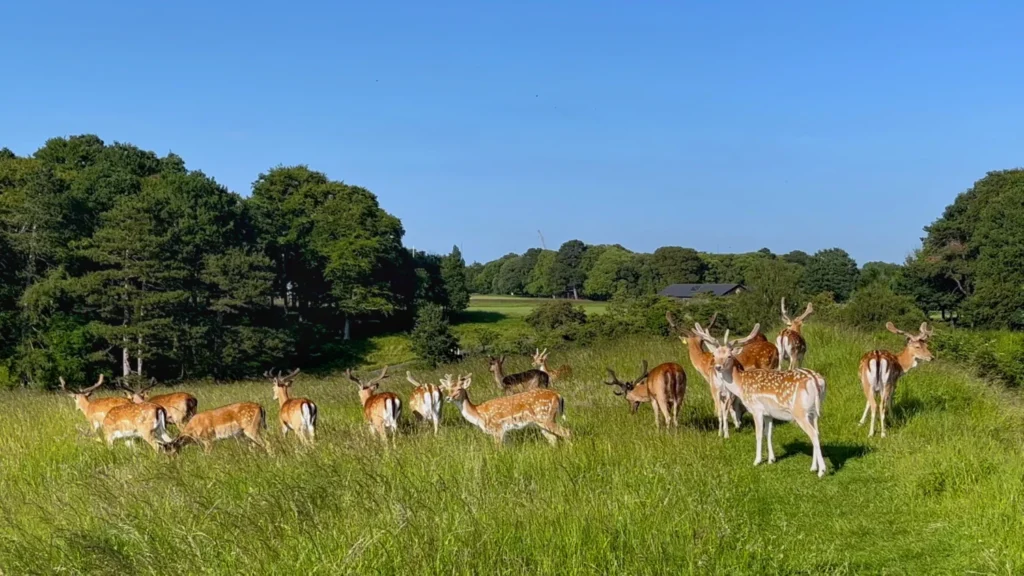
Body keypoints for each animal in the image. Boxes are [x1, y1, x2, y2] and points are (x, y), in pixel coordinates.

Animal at [439, 373, 570, 446]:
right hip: (541, 423)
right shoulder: (505, 432)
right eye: (448, 389)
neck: (478, 414)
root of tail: (558, 395)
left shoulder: (497, 429)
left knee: (567, 432)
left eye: (459, 389)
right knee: (553, 438)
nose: (448, 398)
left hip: (546, 417)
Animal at [695, 322, 828, 477]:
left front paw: (757, 460)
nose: (717, 367)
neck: (741, 385)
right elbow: (768, 434)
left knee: (813, 434)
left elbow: (758, 434)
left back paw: (822, 471)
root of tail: (816, 380)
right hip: (813, 412)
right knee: (817, 432)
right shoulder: (768, 413)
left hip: (799, 412)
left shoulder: (756, 409)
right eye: (715, 355)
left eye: (729, 356)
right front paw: (771, 459)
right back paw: (813, 467)